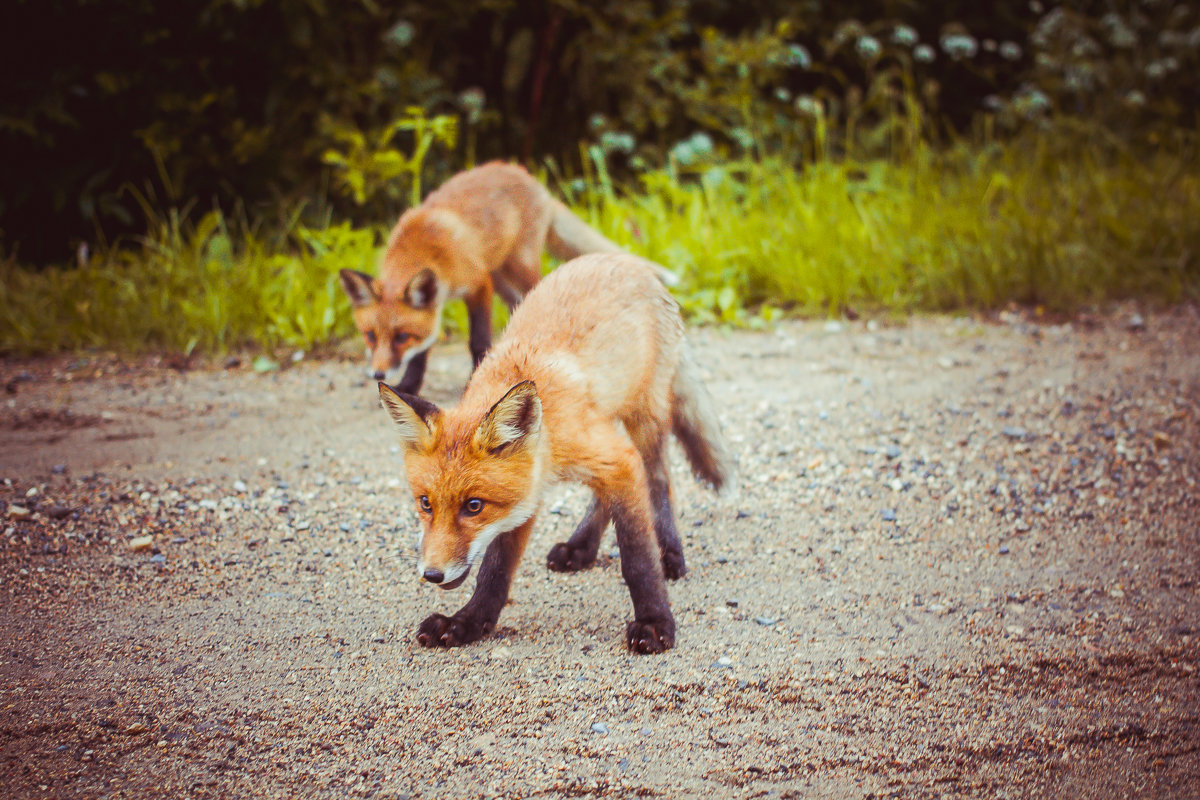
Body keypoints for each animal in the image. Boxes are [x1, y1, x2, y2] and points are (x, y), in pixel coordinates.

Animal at [336, 158, 619, 393]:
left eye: (401, 337)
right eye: (370, 335)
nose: (377, 374)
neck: (426, 247)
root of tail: (529, 177)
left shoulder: (479, 284)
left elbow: (478, 341)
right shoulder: (435, 303)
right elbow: (421, 351)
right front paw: (409, 385)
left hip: (518, 267)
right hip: (502, 277)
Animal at [379, 253, 729, 652]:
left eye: (473, 506)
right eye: (425, 503)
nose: (432, 574)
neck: (549, 436)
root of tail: (627, 258)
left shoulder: (611, 456)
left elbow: (637, 558)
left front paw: (654, 622)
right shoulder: (526, 496)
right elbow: (495, 570)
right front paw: (468, 622)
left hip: (645, 419)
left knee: (658, 481)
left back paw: (668, 551)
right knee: (609, 494)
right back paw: (581, 547)